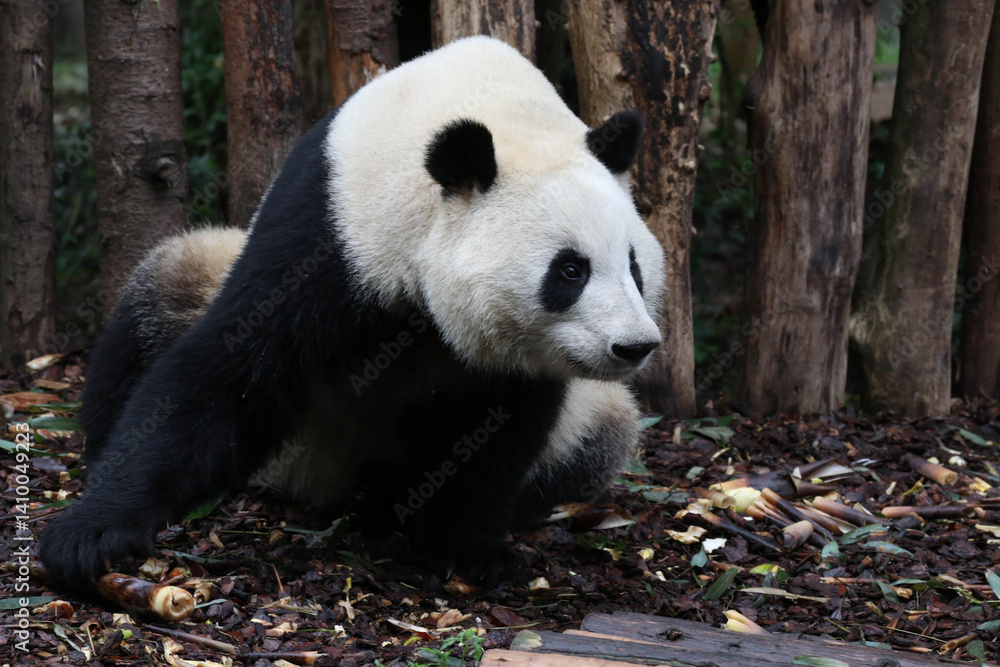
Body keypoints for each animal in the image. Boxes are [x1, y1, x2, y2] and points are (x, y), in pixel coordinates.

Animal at [40, 36, 665, 591]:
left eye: (634, 266)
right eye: (570, 271)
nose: (634, 346)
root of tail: (323, 477)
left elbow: (497, 431)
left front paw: (470, 550)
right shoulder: (332, 230)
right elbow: (232, 370)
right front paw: (91, 534)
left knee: (605, 434)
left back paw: (392, 501)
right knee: (161, 290)